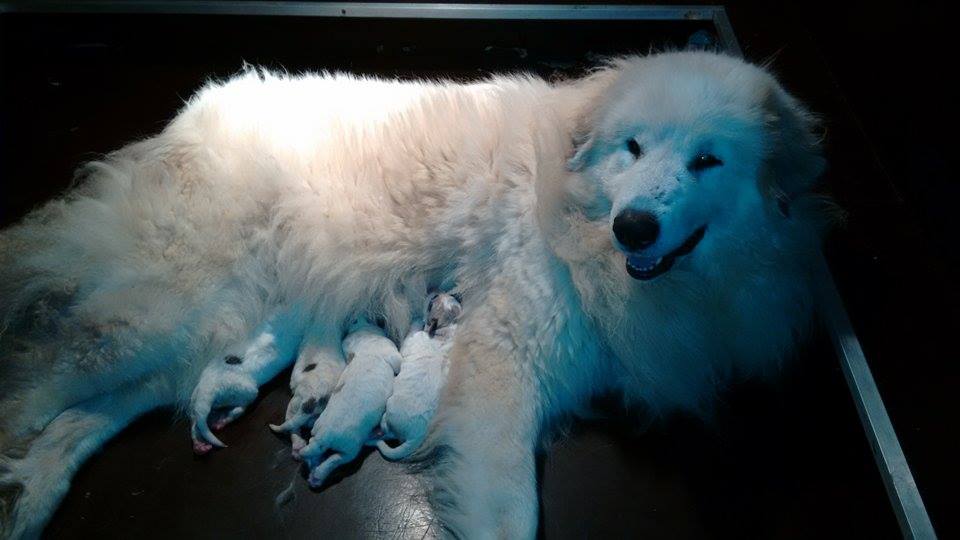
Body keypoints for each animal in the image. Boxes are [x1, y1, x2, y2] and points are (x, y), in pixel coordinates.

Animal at [298, 314, 400, 488]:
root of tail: (323, 437)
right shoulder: (390, 351)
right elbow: (398, 362)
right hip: (350, 448)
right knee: (335, 460)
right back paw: (319, 474)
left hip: (316, 433)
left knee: (314, 454)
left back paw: (314, 475)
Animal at [378, 294, 462, 462]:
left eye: (430, 304)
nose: (434, 292)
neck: (445, 330)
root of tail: (415, 437)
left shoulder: (411, 340)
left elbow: (412, 332)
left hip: (390, 409)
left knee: (387, 429)